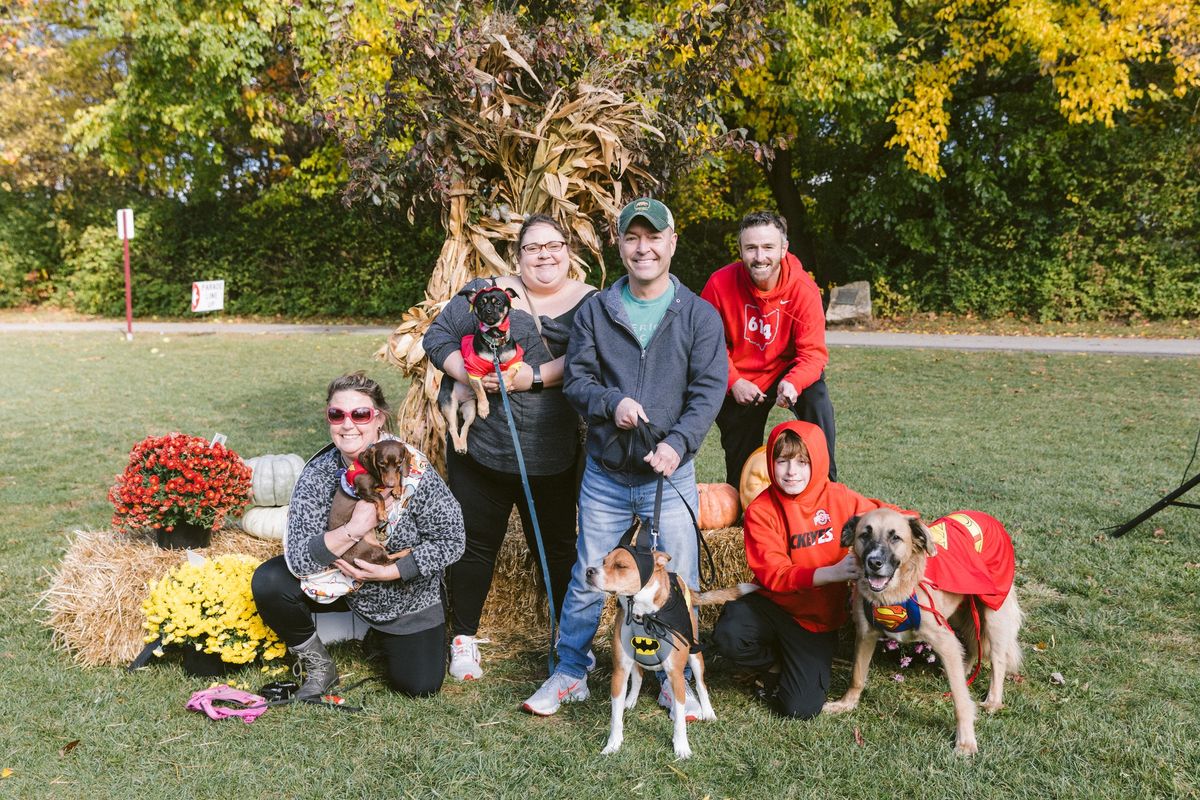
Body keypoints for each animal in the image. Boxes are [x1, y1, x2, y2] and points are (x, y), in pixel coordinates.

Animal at [583, 522, 753, 762]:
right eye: (603, 562)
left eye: (620, 566)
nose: (589, 571)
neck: (645, 614)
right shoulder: (619, 671)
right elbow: (615, 717)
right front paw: (613, 744)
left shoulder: (675, 673)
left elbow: (680, 719)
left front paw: (681, 746)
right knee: (638, 676)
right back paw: (630, 700)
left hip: (695, 656)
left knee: (701, 685)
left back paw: (708, 711)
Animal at [825, 510, 1022, 753]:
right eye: (864, 535)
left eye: (895, 537)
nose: (874, 562)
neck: (897, 593)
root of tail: (986, 517)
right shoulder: (866, 634)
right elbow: (857, 677)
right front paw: (846, 704)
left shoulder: (944, 639)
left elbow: (960, 700)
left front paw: (966, 740)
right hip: (958, 612)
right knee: (970, 646)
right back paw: (963, 669)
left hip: (993, 613)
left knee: (997, 660)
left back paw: (993, 700)